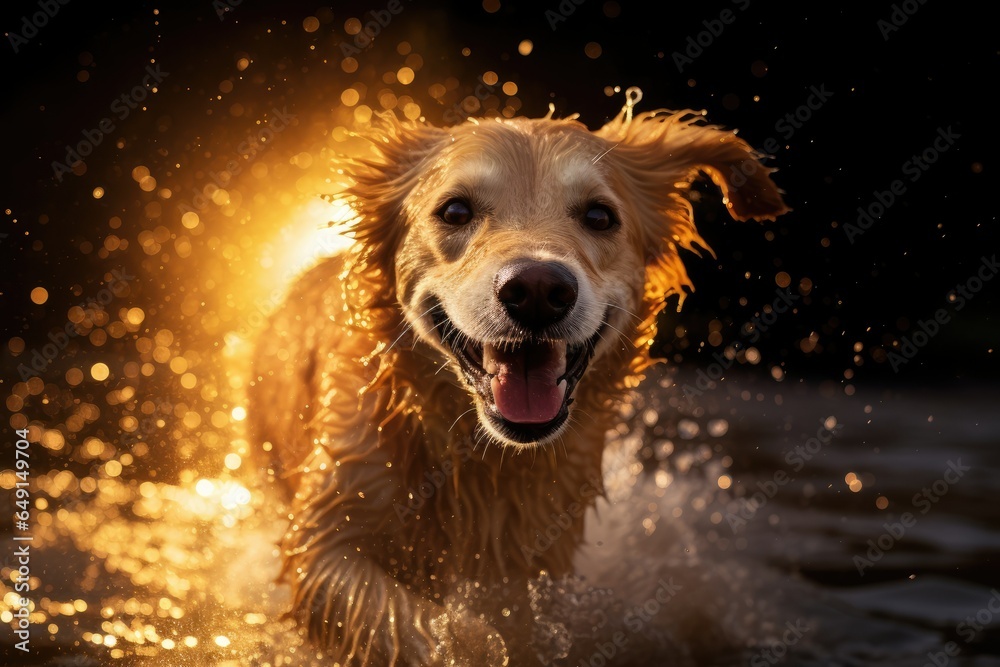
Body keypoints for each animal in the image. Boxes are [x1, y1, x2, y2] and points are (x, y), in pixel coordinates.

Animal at [250, 91, 788, 664]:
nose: (537, 289)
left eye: (599, 215)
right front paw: (469, 642)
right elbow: (404, 621)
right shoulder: (327, 535)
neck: (482, 456)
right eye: (455, 211)